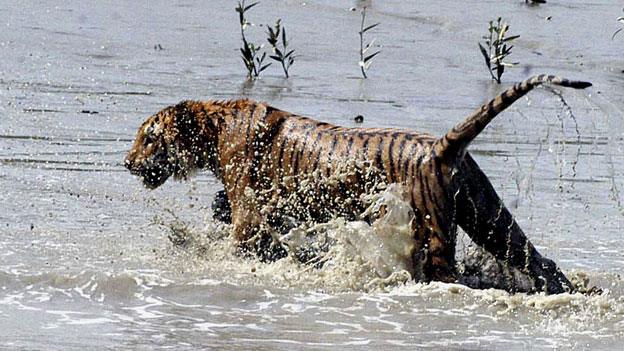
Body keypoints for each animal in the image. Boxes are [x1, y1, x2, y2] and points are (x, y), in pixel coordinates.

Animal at [125, 74, 588, 294]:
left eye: (147, 137)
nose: (126, 163)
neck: (214, 127)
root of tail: (443, 145)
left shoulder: (249, 214)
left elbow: (235, 239)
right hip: (491, 218)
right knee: (541, 261)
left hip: (438, 233)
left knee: (450, 275)